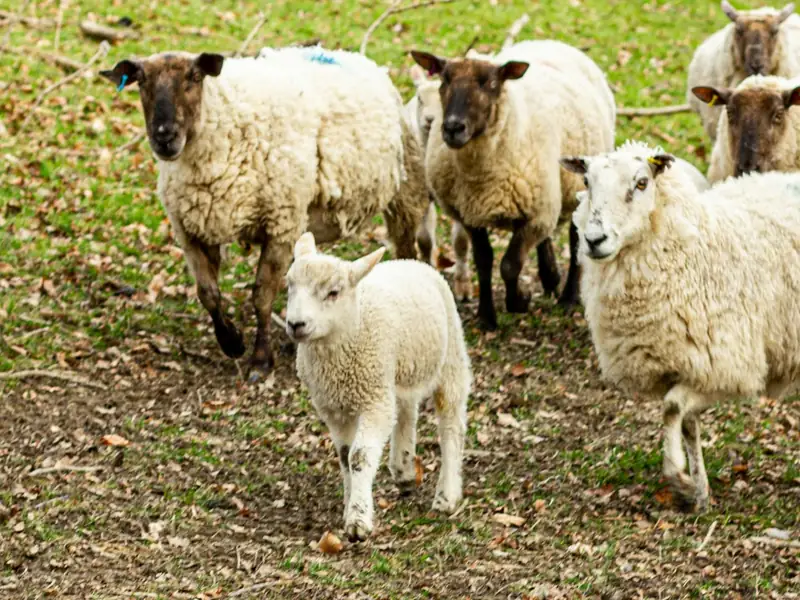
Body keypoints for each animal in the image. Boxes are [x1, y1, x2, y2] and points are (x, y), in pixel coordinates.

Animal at [100, 48, 428, 381]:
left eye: (194, 77)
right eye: (141, 81)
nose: (164, 137)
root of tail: (350, 55)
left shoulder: (281, 225)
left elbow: (261, 296)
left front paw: (260, 360)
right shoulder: (192, 229)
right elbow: (207, 293)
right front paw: (231, 341)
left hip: (405, 191)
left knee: (406, 249)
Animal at [285, 232, 471, 541]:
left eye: (333, 292)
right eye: (289, 286)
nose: (295, 324)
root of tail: (409, 261)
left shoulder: (373, 400)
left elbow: (359, 456)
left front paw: (358, 521)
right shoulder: (332, 408)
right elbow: (345, 456)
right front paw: (350, 504)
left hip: (450, 358)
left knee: (450, 426)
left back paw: (447, 495)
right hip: (399, 371)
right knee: (406, 412)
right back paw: (404, 470)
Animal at [411, 40, 616, 329]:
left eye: (490, 83)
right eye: (445, 79)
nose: (452, 128)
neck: (480, 178)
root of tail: (549, 42)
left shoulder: (535, 217)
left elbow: (510, 265)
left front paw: (519, 301)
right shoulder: (471, 214)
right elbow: (484, 261)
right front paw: (486, 316)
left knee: (576, 240)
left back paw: (567, 297)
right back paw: (550, 277)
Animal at [559, 140, 800, 510]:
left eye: (641, 183)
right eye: (586, 182)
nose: (594, 239)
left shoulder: (727, 367)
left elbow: (671, 409)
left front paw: (679, 476)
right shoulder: (687, 365)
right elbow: (687, 423)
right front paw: (699, 492)